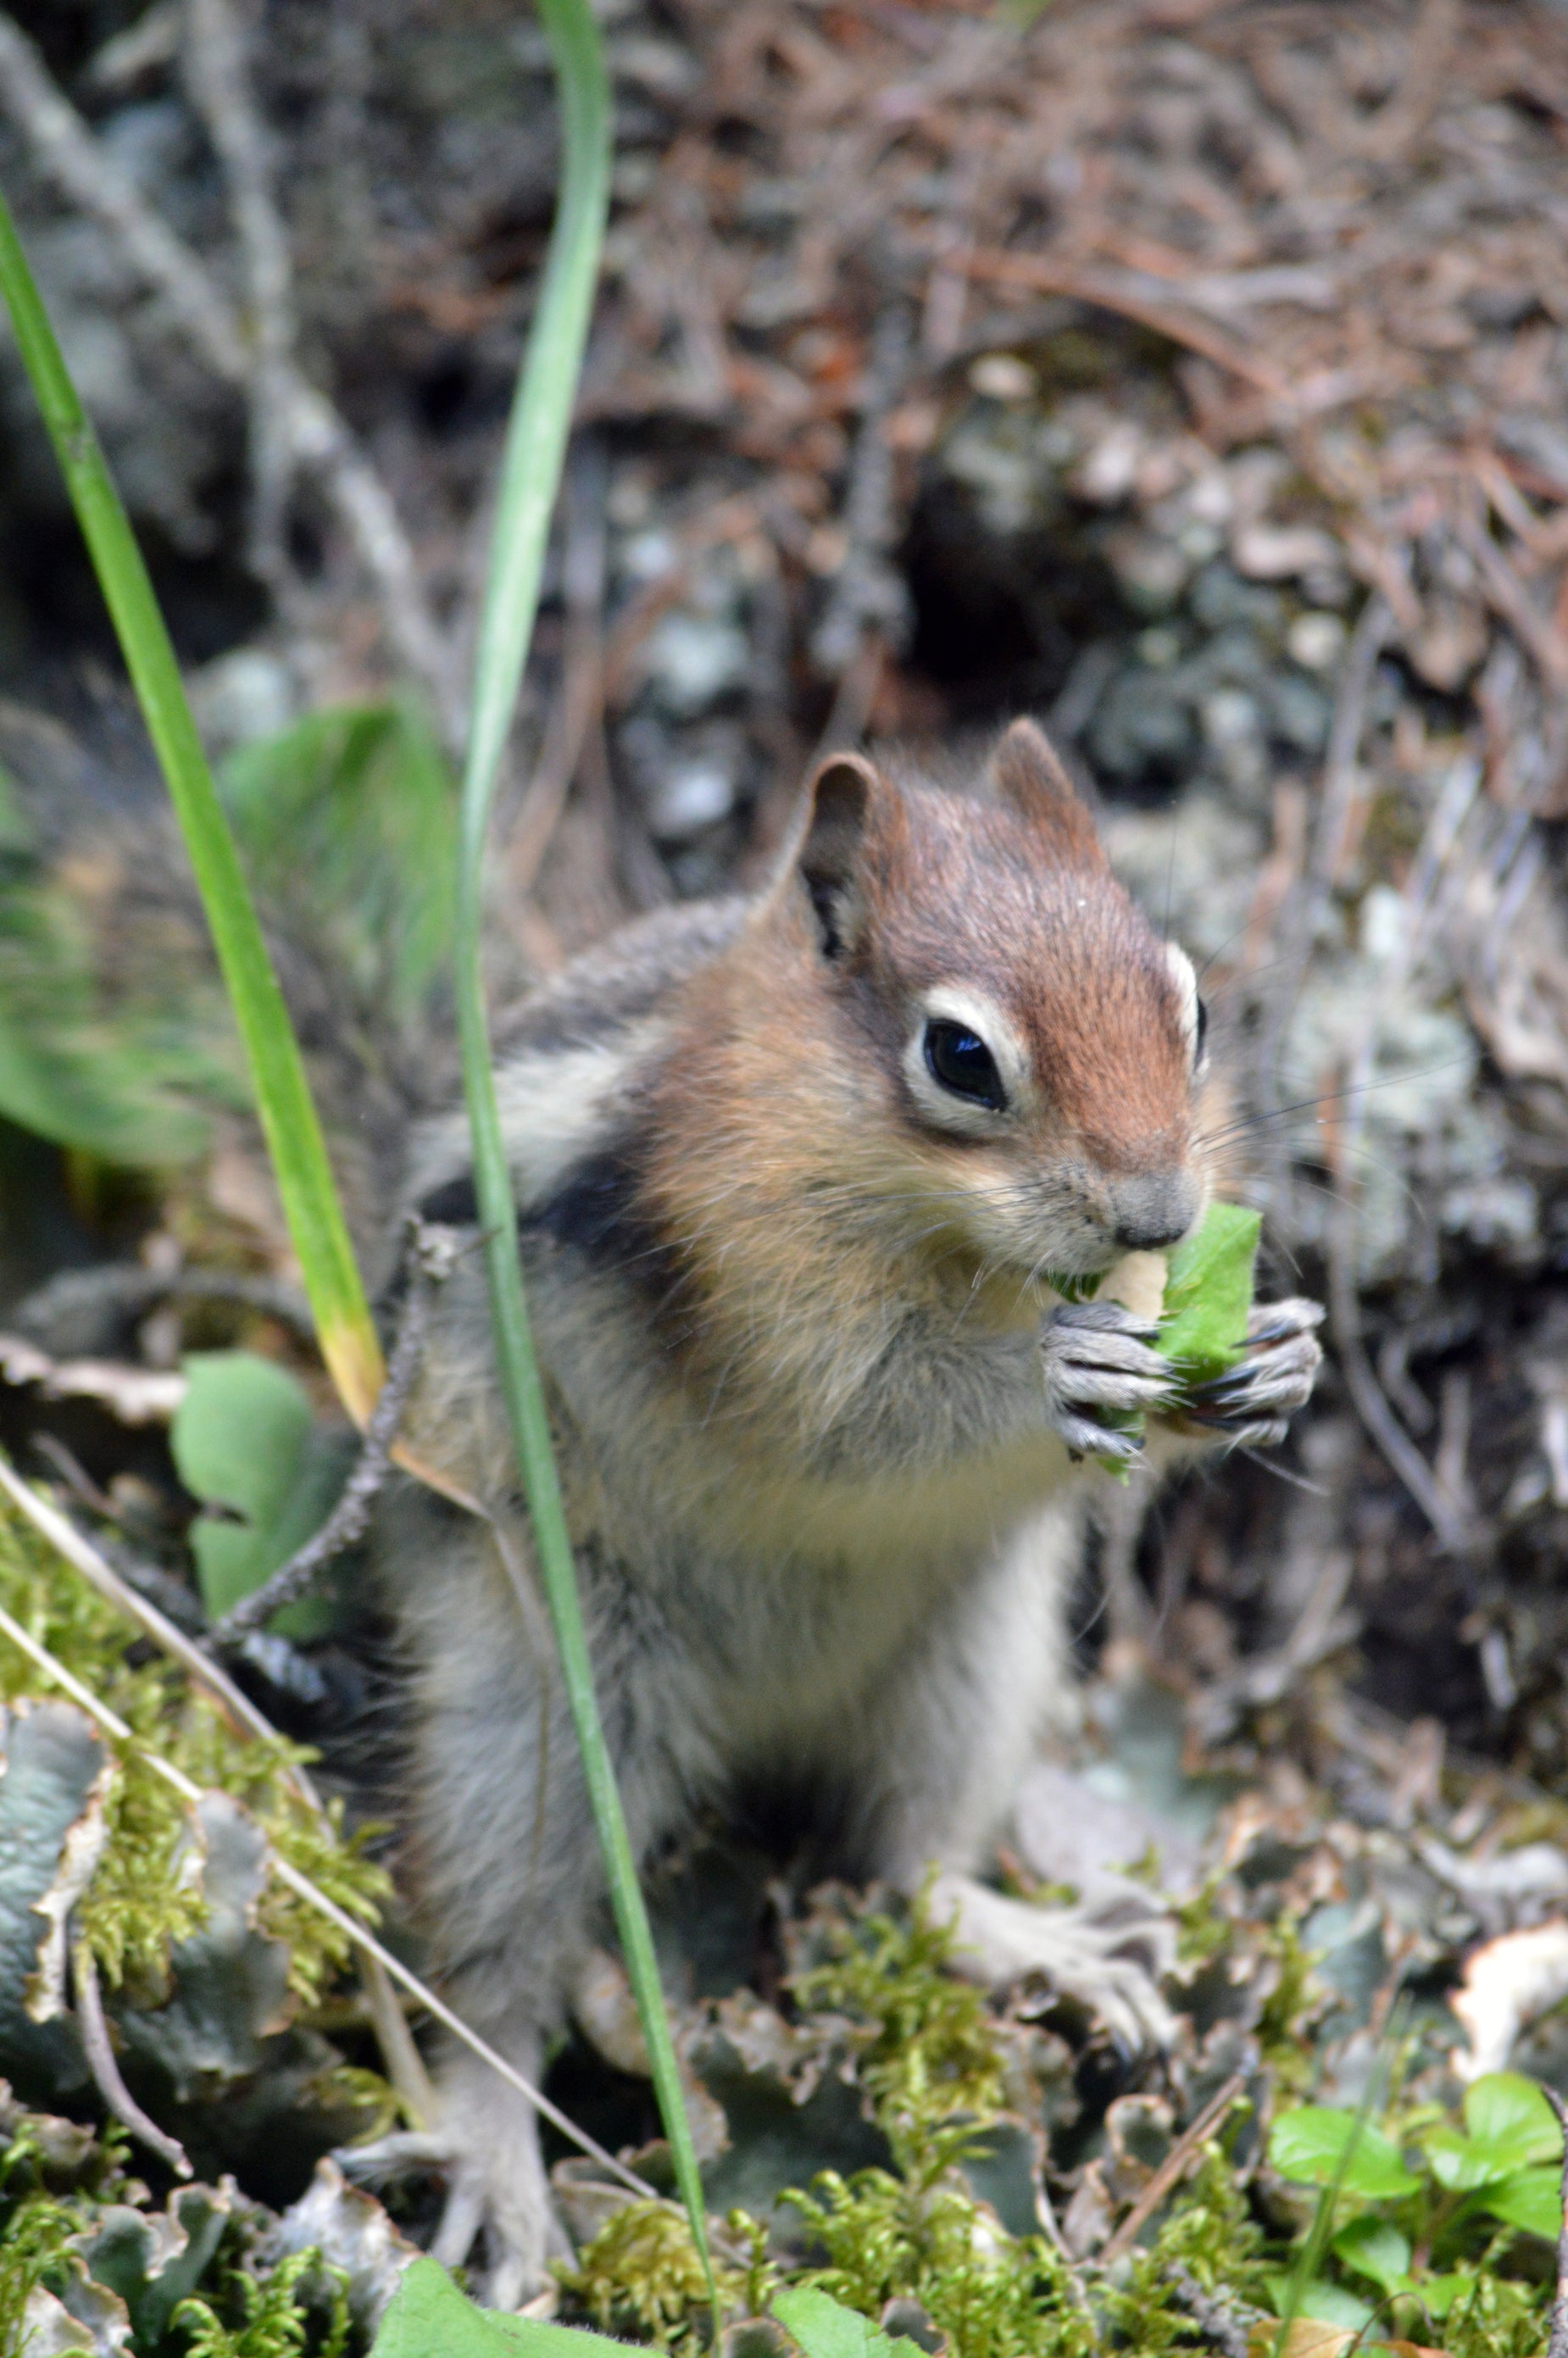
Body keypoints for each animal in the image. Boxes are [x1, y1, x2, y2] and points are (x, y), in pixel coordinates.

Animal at [0, 703, 1321, 2303]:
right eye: (959, 1056)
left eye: (1191, 1009)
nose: (1158, 1214)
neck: (951, 1234)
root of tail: (770, 1710)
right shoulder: (746, 1271)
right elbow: (858, 1413)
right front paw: (1049, 1372)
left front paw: (1274, 1355)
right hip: (544, 1686)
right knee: (494, 1958)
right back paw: (493, 2158)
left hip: (973, 1651)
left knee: (910, 1867)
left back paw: (1034, 1940)